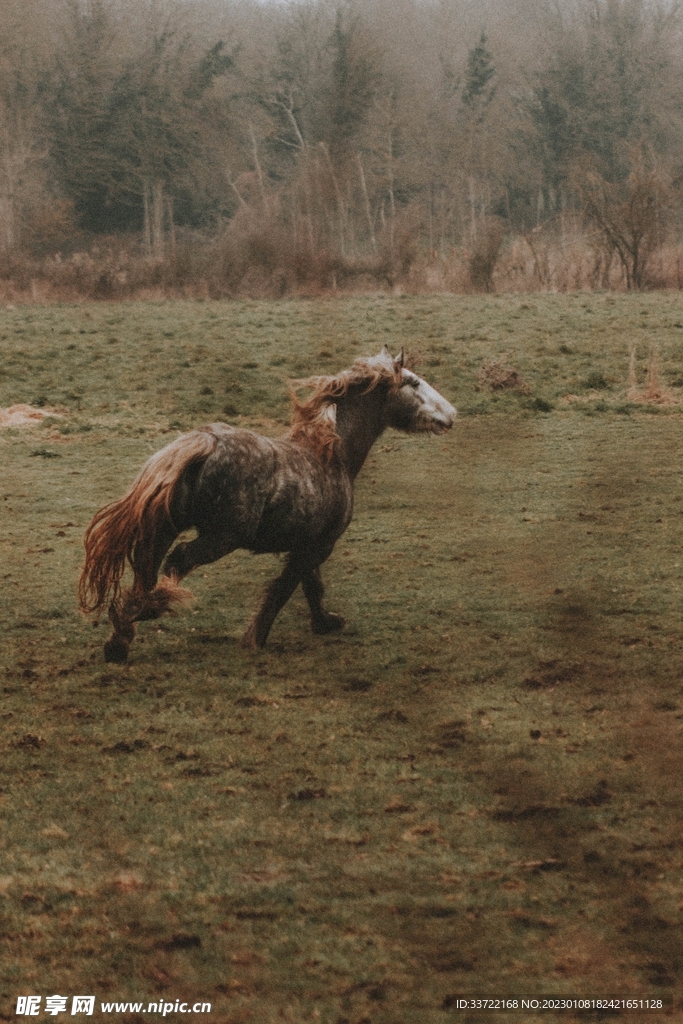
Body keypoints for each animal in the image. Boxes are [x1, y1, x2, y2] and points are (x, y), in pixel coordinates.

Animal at [79, 346, 456, 663]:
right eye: (413, 382)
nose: (451, 414)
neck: (332, 455)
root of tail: (205, 441)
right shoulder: (320, 544)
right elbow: (286, 587)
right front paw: (256, 638)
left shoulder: (308, 543)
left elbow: (311, 585)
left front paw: (325, 622)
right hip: (221, 538)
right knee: (176, 562)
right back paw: (150, 609)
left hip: (165, 528)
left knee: (146, 569)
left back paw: (119, 641)